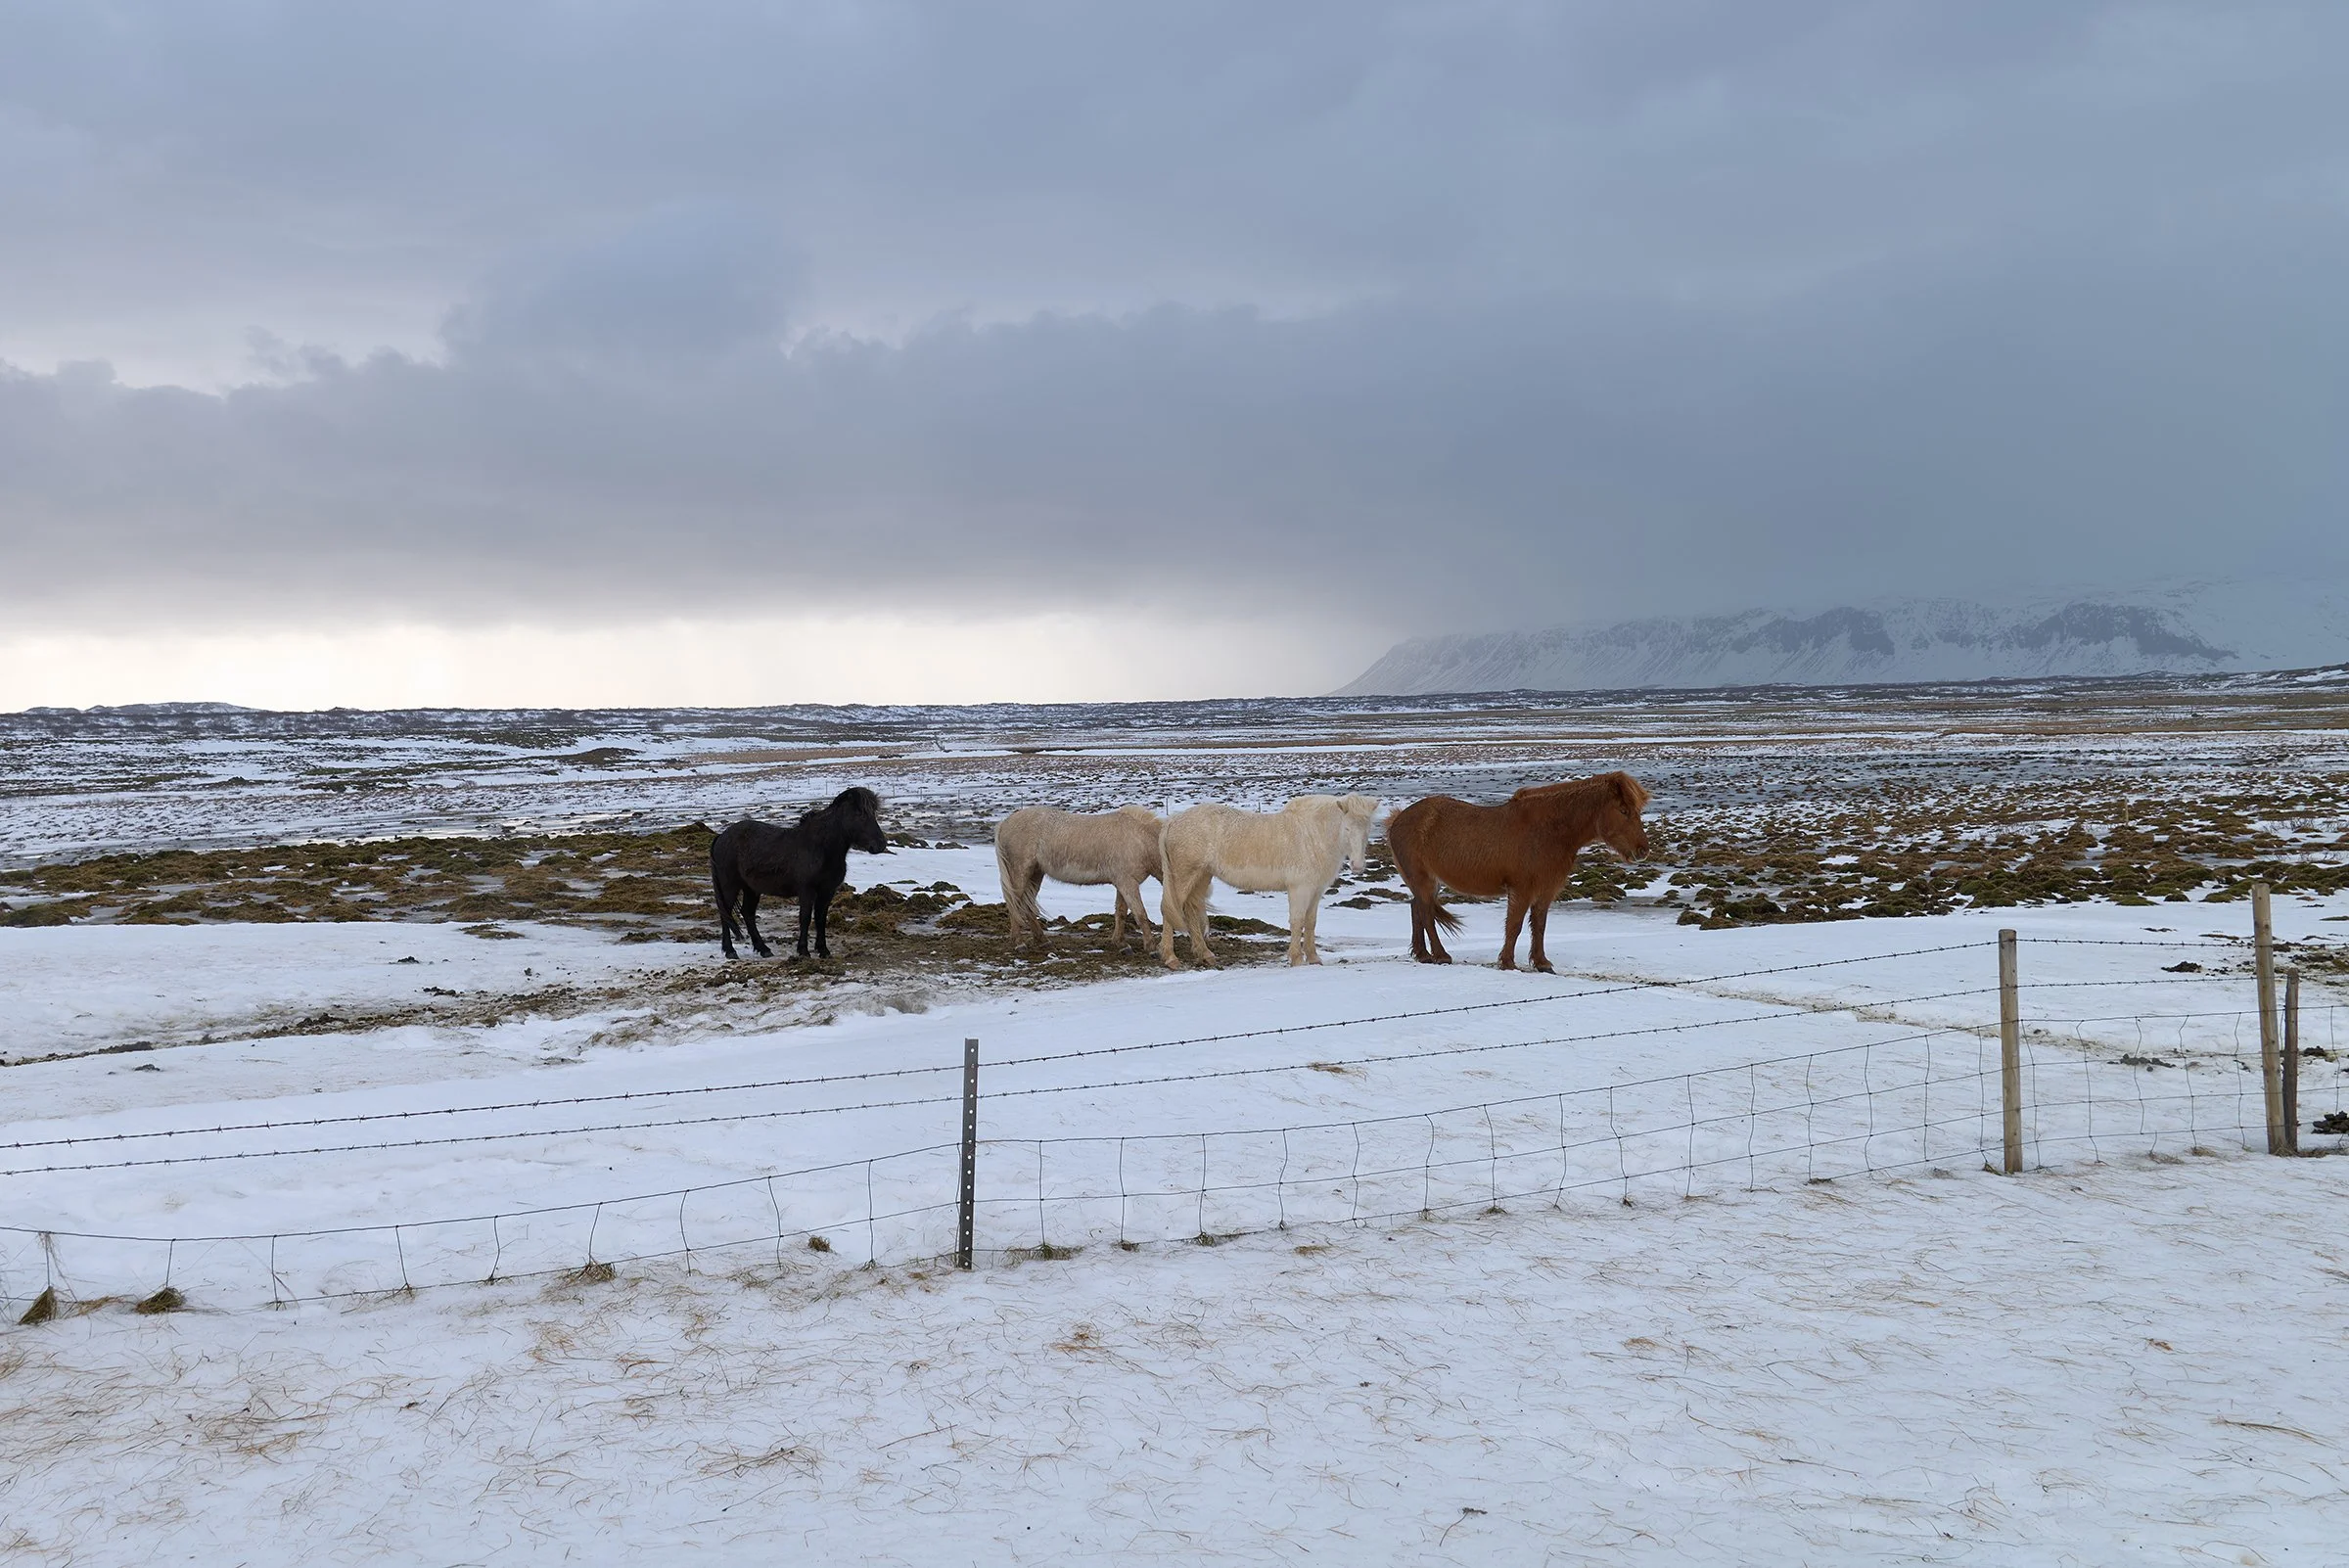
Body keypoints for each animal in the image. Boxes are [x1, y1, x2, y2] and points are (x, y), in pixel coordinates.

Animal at [709, 787, 890, 960]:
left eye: (873, 813)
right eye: (860, 813)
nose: (880, 845)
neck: (820, 848)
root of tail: (721, 837)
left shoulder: (827, 891)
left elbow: (821, 918)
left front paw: (823, 950)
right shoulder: (806, 890)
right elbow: (805, 918)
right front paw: (803, 951)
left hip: (751, 889)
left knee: (747, 913)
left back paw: (764, 949)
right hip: (729, 887)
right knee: (725, 913)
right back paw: (730, 951)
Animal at [994, 804, 1163, 951]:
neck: (1140, 839)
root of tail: (1005, 822)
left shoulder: (1123, 883)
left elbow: (1121, 912)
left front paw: (1121, 944)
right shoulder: (1127, 883)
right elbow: (1140, 913)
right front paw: (1152, 948)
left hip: (1035, 874)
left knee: (1028, 906)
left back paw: (1043, 941)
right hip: (1020, 873)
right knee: (1015, 904)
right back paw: (1019, 943)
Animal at [1159, 793, 1380, 969]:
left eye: (1367, 828)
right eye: (1347, 829)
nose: (1358, 866)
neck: (1312, 835)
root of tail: (1173, 820)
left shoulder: (1316, 891)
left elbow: (1310, 923)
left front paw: (1314, 958)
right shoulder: (1299, 889)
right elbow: (1297, 921)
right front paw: (1297, 959)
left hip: (1201, 877)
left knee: (1191, 910)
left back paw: (1205, 954)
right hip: (1184, 877)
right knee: (1169, 910)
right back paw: (1170, 958)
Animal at [1385, 772, 1650, 972]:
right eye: (1623, 810)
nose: (1643, 850)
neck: (1549, 831)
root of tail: (1398, 819)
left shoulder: (1545, 891)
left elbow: (1539, 926)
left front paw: (1542, 963)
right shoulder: (1522, 890)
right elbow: (1515, 925)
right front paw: (1508, 963)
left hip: (1428, 883)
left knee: (1417, 909)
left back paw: (1423, 955)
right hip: (1424, 881)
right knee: (1426, 914)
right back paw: (1441, 955)